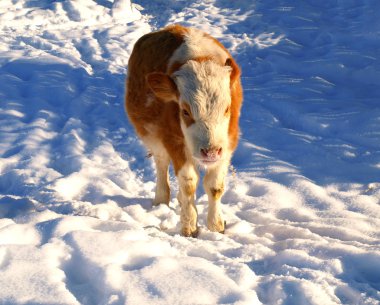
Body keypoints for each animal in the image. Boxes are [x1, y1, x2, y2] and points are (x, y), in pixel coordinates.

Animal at [125, 25, 243, 236]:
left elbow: (215, 186)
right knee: (162, 163)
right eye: (185, 111)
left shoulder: (228, 143)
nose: (210, 151)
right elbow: (188, 182)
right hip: (153, 136)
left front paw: (216, 226)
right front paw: (189, 226)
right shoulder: (173, 141)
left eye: (227, 108)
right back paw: (161, 199)